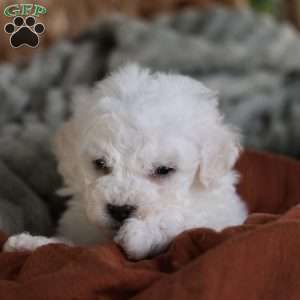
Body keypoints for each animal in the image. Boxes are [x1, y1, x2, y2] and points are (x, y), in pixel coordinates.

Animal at [3, 63, 247, 260]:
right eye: (100, 164)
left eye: (164, 170)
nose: (120, 211)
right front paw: (30, 243)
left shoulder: (219, 216)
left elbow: (184, 221)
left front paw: (141, 233)